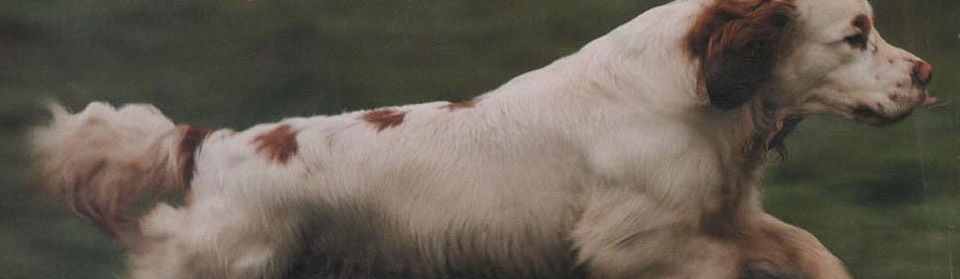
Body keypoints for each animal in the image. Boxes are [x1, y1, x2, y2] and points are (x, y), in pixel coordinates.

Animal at [30, 0, 928, 278]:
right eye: (856, 34)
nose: (924, 73)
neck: (693, 90)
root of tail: (208, 142)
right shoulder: (641, 240)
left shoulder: (723, 214)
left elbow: (808, 248)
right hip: (224, 261)